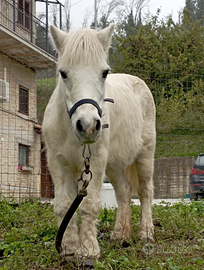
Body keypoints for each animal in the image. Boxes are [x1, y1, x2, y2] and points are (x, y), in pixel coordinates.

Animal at [42, 23, 155, 264]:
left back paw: (146, 232)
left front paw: (88, 250)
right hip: (113, 165)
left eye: (104, 73)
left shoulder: (94, 163)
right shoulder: (57, 163)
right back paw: (120, 235)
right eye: (63, 73)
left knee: (144, 190)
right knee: (124, 191)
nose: (88, 125)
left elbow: (88, 205)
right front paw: (67, 248)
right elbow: (64, 205)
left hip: (145, 155)